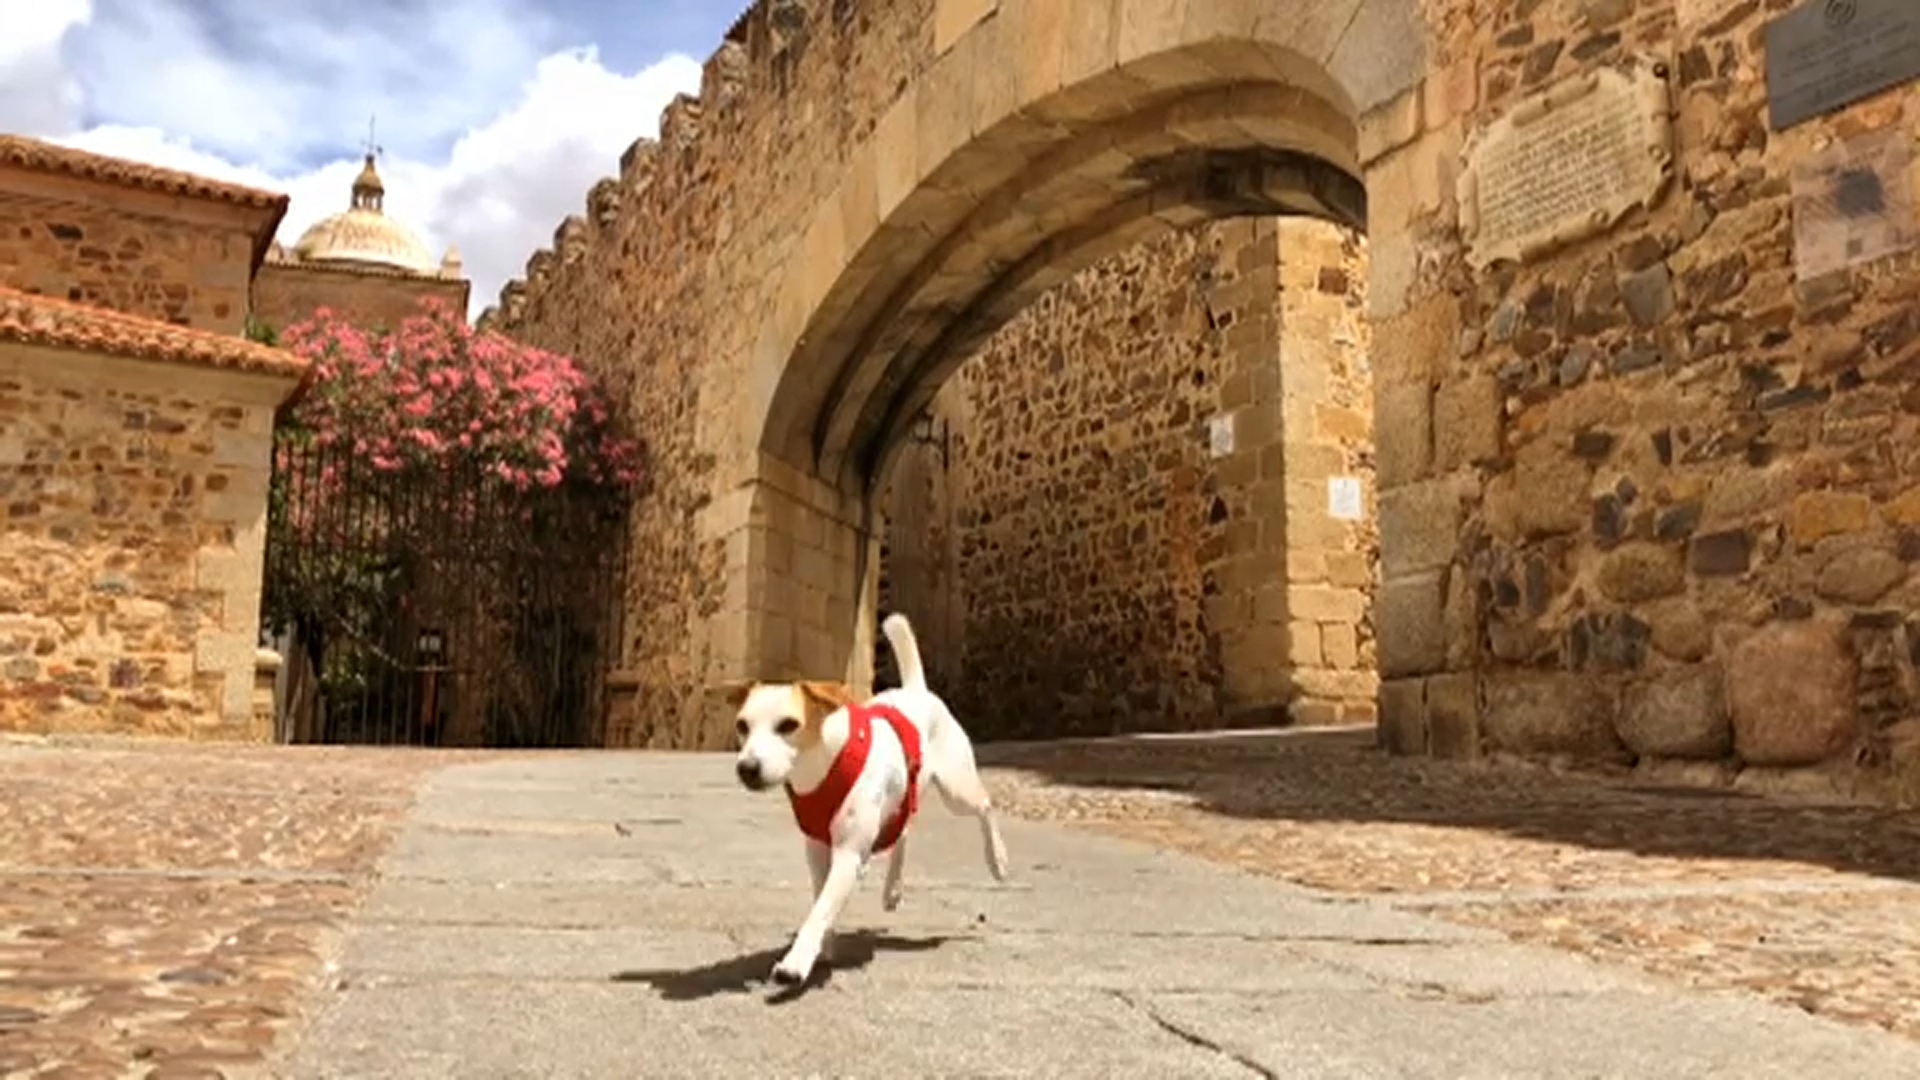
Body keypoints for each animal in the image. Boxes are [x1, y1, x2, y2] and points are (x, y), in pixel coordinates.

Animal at [725, 611, 1013, 980]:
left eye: (788, 725)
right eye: (742, 726)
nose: (747, 767)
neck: (822, 764)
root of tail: (917, 689)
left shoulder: (848, 855)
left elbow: (821, 908)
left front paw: (797, 961)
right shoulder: (817, 849)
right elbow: (820, 898)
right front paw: (824, 945)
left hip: (956, 789)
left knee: (985, 806)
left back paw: (998, 860)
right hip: (901, 799)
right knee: (904, 828)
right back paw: (893, 888)